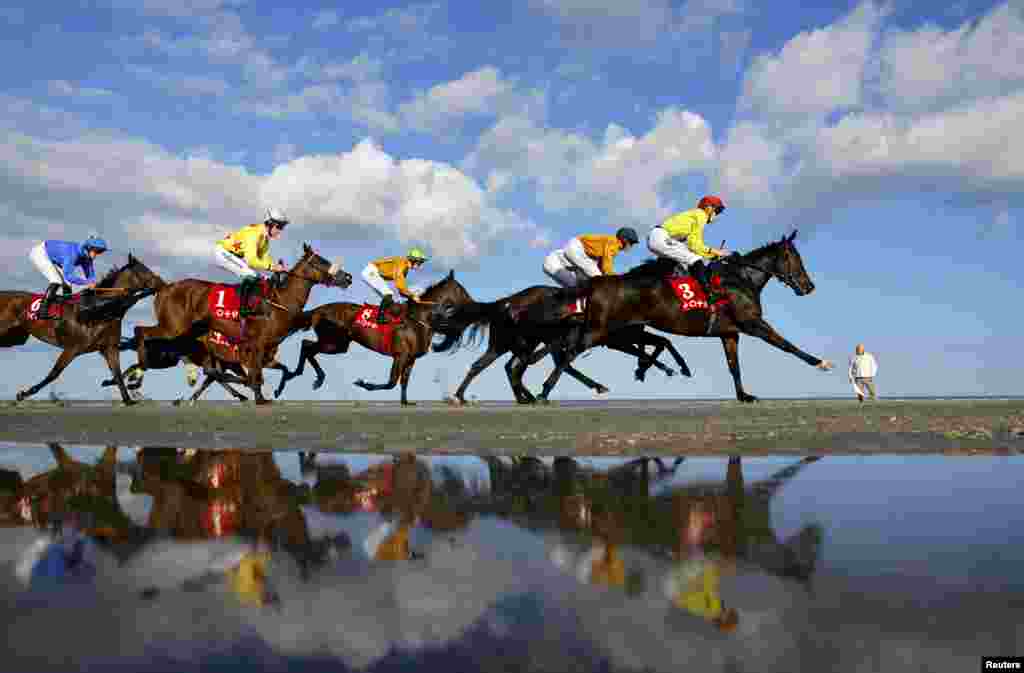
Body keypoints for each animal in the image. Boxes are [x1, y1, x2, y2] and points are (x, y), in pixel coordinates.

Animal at [0, 253, 162, 403]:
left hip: (15, 337)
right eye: (144, 270)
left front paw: (128, 398)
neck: (99, 309)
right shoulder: (72, 348)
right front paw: (23, 394)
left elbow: (117, 374)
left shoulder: (109, 348)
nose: (161, 283)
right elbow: (54, 373)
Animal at [126, 242, 352, 403]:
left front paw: (271, 391)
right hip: (173, 328)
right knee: (141, 331)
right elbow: (256, 374)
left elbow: (277, 370)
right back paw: (137, 376)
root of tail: (164, 287)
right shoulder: (256, 346)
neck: (279, 302)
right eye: (322, 261)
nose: (348, 277)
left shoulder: (264, 349)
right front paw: (260, 398)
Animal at [274, 270, 477, 407]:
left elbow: (403, 382)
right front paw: (364, 384)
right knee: (307, 346)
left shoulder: (411, 358)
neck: (418, 319)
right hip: (334, 342)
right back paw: (303, 377)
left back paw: (300, 377)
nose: (473, 303)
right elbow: (391, 382)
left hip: (338, 344)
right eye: (461, 290)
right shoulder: (400, 355)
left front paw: (406, 402)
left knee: (307, 345)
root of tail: (319, 310)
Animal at [428, 282, 692, 403]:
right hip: (525, 343)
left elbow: (660, 343)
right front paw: (658, 368)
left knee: (491, 366)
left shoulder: (623, 337)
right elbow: (654, 347)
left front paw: (652, 368)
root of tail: (505, 302)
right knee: (518, 367)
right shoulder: (615, 339)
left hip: (506, 344)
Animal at [512, 231, 831, 401]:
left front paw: (744, 395)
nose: (809, 286)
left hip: (608, 330)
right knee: (567, 354)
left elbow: (734, 366)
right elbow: (787, 345)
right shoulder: (753, 323)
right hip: (600, 330)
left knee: (560, 352)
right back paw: (543, 392)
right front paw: (821, 362)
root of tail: (598, 282)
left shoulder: (729, 332)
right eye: (795, 258)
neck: (741, 279)